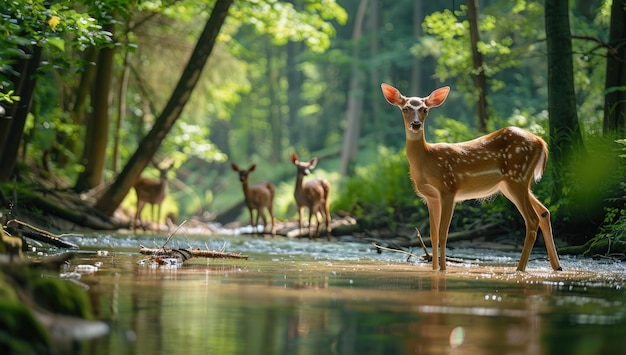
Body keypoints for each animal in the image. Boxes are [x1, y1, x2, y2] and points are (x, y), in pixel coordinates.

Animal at [380, 84, 560, 272]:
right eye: (405, 108)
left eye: (425, 109)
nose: (416, 124)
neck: (426, 160)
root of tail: (541, 142)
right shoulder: (430, 196)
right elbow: (433, 234)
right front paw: (434, 269)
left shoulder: (448, 188)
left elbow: (443, 233)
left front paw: (443, 269)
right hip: (512, 184)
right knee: (544, 212)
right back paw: (557, 266)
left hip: (517, 177)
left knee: (532, 220)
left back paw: (520, 269)